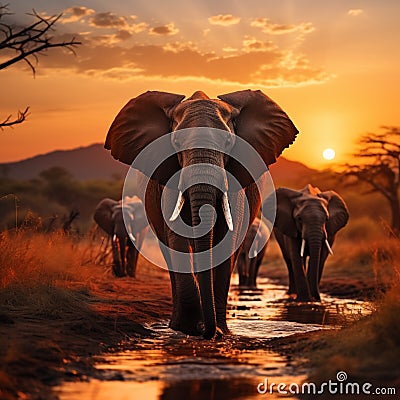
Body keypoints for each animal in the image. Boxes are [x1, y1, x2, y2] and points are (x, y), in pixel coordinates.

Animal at [104, 90, 298, 338]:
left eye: (228, 143)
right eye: (176, 143)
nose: (207, 331)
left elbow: (226, 239)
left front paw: (218, 331)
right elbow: (177, 236)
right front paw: (190, 328)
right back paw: (179, 324)